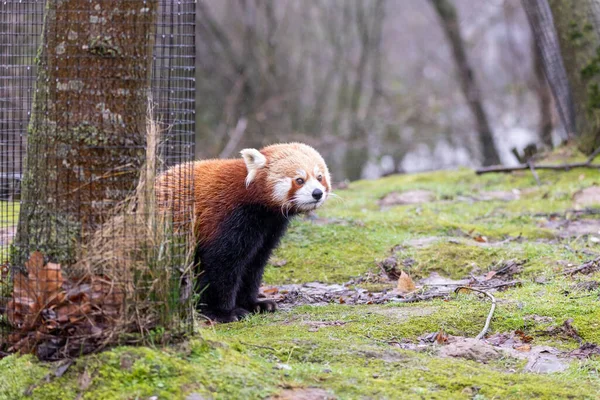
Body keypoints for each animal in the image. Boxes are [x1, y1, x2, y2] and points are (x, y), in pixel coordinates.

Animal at [155, 143, 330, 322]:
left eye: (319, 177)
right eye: (299, 180)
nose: (317, 193)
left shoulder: (269, 229)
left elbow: (253, 264)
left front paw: (254, 304)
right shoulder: (227, 218)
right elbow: (221, 265)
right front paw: (223, 312)